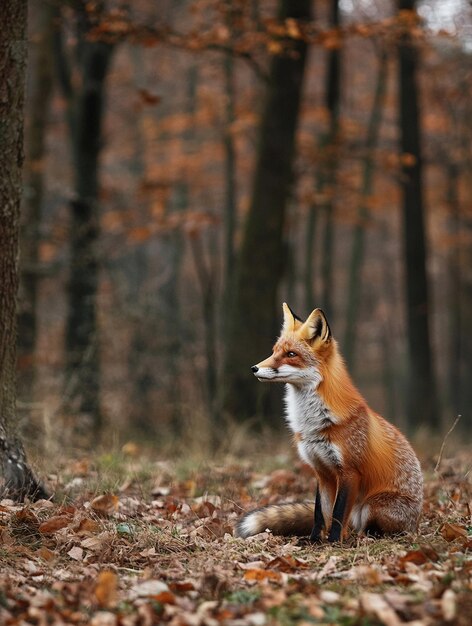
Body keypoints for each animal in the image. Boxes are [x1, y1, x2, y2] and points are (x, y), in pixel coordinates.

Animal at [236, 302, 424, 540]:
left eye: (291, 354)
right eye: (274, 351)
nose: (254, 368)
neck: (314, 423)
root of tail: (416, 522)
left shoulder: (349, 472)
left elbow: (337, 513)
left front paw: (334, 541)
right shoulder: (322, 471)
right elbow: (320, 513)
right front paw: (314, 541)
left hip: (373, 505)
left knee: (369, 528)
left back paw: (364, 536)